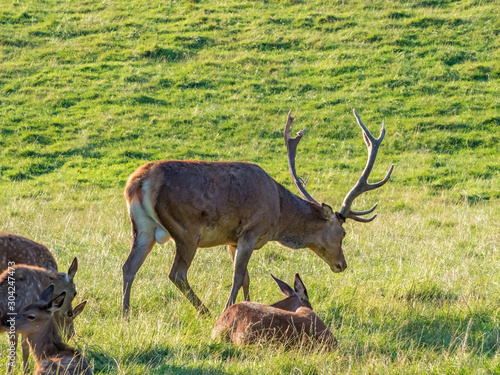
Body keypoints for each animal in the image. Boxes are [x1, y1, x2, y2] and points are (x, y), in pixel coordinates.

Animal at [122, 109, 394, 318]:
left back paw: (125, 314)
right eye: (342, 233)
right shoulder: (251, 231)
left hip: (142, 227)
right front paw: (228, 309)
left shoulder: (232, 239)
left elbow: (246, 278)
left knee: (129, 266)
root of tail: (139, 181)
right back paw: (205, 311)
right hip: (186, 230)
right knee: (177, 273)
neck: (279, 212)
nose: (341, 264)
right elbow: (238, 275)